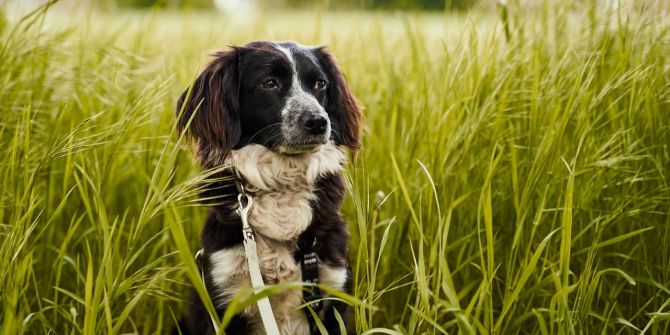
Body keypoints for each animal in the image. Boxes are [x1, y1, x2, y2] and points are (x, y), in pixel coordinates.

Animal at [173, 40, 362, 334]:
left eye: (320, 84)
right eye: (269, 83)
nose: (319, 121)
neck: (282, 184)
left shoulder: (332, 293)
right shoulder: (225, 297)